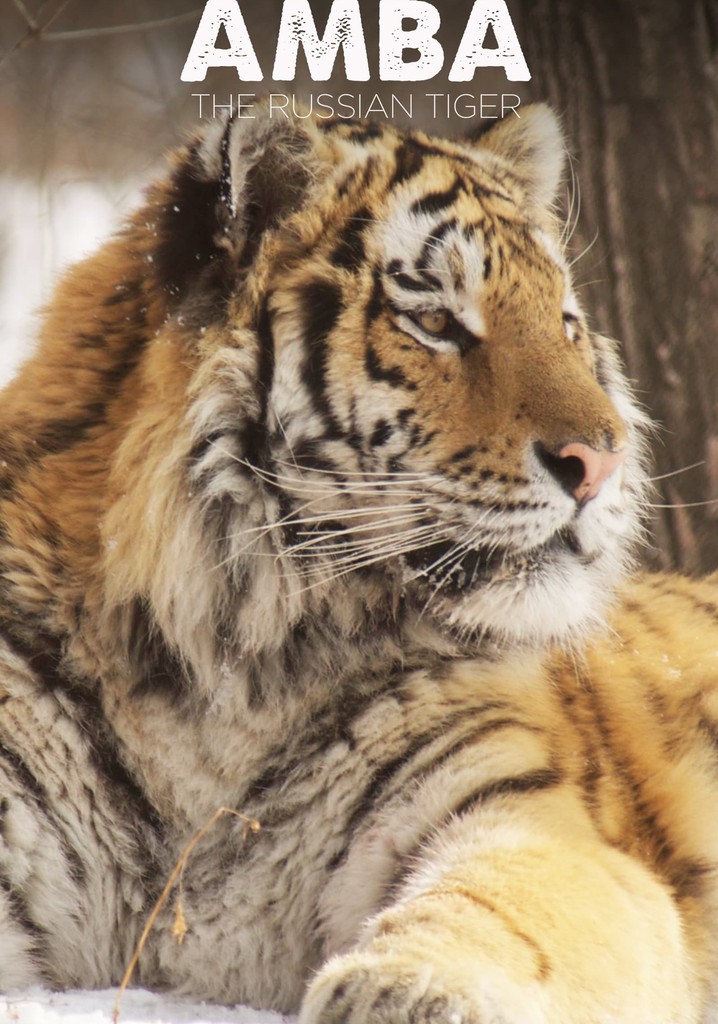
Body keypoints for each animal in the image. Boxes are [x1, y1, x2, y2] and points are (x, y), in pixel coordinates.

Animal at [1, 99, 718, 1024]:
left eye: (564, 321)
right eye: (437, 322)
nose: (605, 461)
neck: (220, 673)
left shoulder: (531, 815)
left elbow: (497, 906)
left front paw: (404, 990)